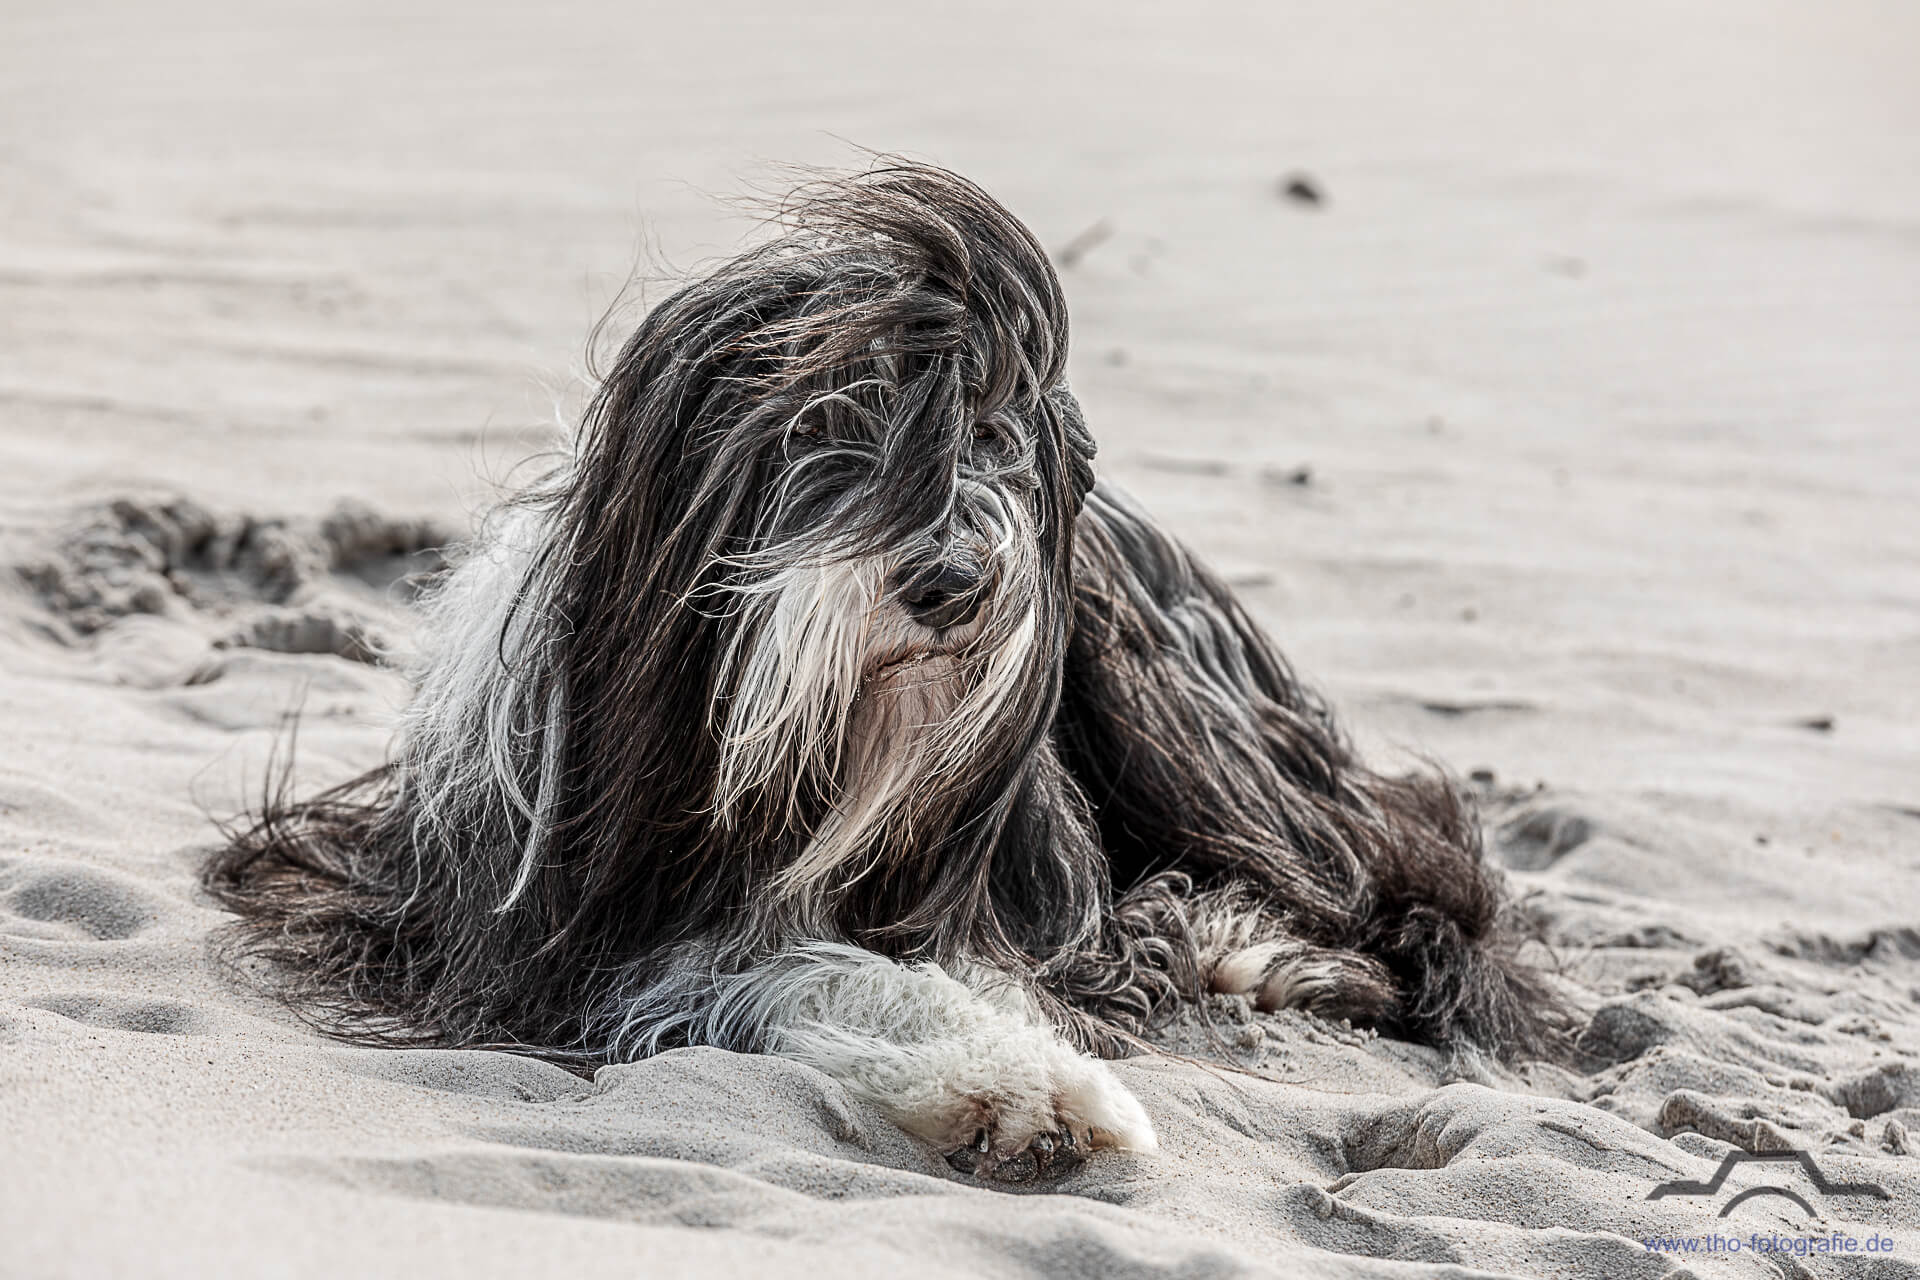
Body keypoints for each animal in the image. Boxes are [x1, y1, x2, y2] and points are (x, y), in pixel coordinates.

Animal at [206, 165, 1559, 1189]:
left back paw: (1242, 936)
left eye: (993, 437)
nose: (953, 580)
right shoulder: (536, 942)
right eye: (824, 422)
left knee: (1411, 870)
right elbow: (766, 967)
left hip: (1197, 730)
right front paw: (1014, 1083)